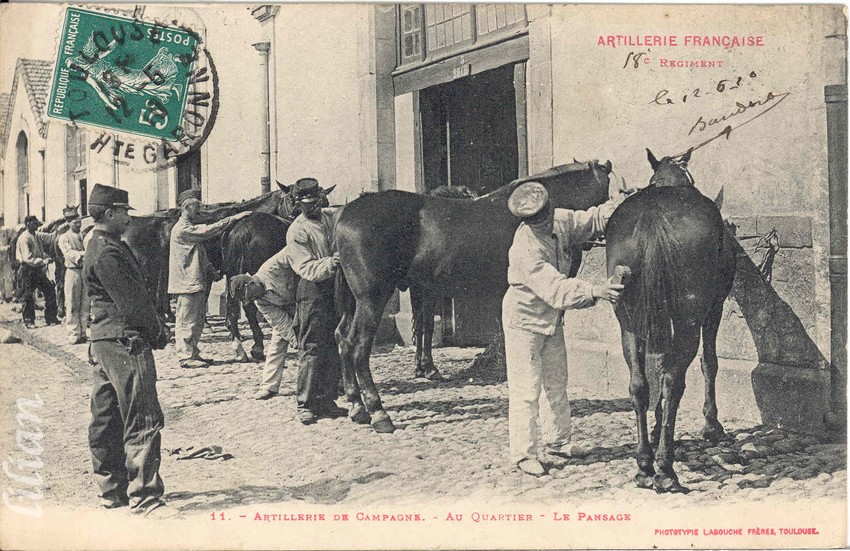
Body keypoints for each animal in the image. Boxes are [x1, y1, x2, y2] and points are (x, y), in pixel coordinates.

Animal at [334, 162, 612, 434]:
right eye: (607, 193)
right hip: (372, 299)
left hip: (356, 302)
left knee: (343, 340)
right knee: (359, 347)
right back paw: (378, 412)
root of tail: (345, 215)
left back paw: (357, 406)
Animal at [604, 149, 736, 494]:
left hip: (629, 322)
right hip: (690, 320)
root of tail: (653, 218)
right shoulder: (713, 309)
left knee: (640, 384)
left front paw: (654, 429)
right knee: (674, 381)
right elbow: (709, 362)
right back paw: (665, 468)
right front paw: (711, 425)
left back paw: (644, 463)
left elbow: (659, 365)